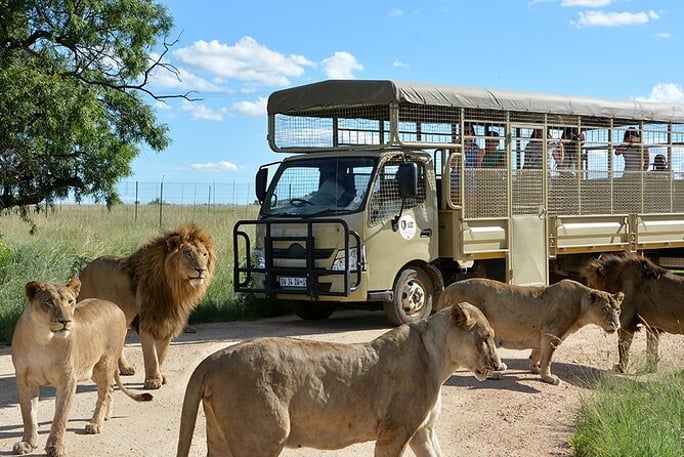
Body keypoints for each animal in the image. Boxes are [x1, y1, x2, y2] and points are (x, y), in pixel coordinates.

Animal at [11, 279, 152, 457]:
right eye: (49, 302)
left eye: (70, 302)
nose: (65, 321)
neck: (43, 339)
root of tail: (115, 306)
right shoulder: (24, 380)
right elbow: (28, 415)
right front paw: (27, 444)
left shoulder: (67, 380)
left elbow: (60, 417)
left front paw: (55, 447)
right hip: (94, 370)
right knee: (109, 389)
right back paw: (106, 416)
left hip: (104, 364)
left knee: (104, 394)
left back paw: (95, 424)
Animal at [77, 223, 215, 389]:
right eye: (187, 253)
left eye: (205, 255)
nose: (201, 270)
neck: (175, 289)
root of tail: (84, 270)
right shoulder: (146, 322)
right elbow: (151, 356)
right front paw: (153, 380)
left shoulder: (167, 323)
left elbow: (161, 355)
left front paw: (160, 376)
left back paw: (125, 368)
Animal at [175, 303, 501, 457]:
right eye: (485, 337)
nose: (499, 364)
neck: (439, 359)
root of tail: (213, 359)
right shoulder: (394, 431)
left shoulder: (422, 431)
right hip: (265, 436)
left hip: (221, 437)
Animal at [436, 278, 624, 385]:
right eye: (604, 310)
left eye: (618, 310)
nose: (616, 326)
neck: (580, 305)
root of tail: (446, 290)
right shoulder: (552, 333)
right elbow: (548, 358)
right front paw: (548, 377)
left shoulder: (542, 334)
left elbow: (537, 354)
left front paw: (535, 369)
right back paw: (494, 374)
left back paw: (500, 367)